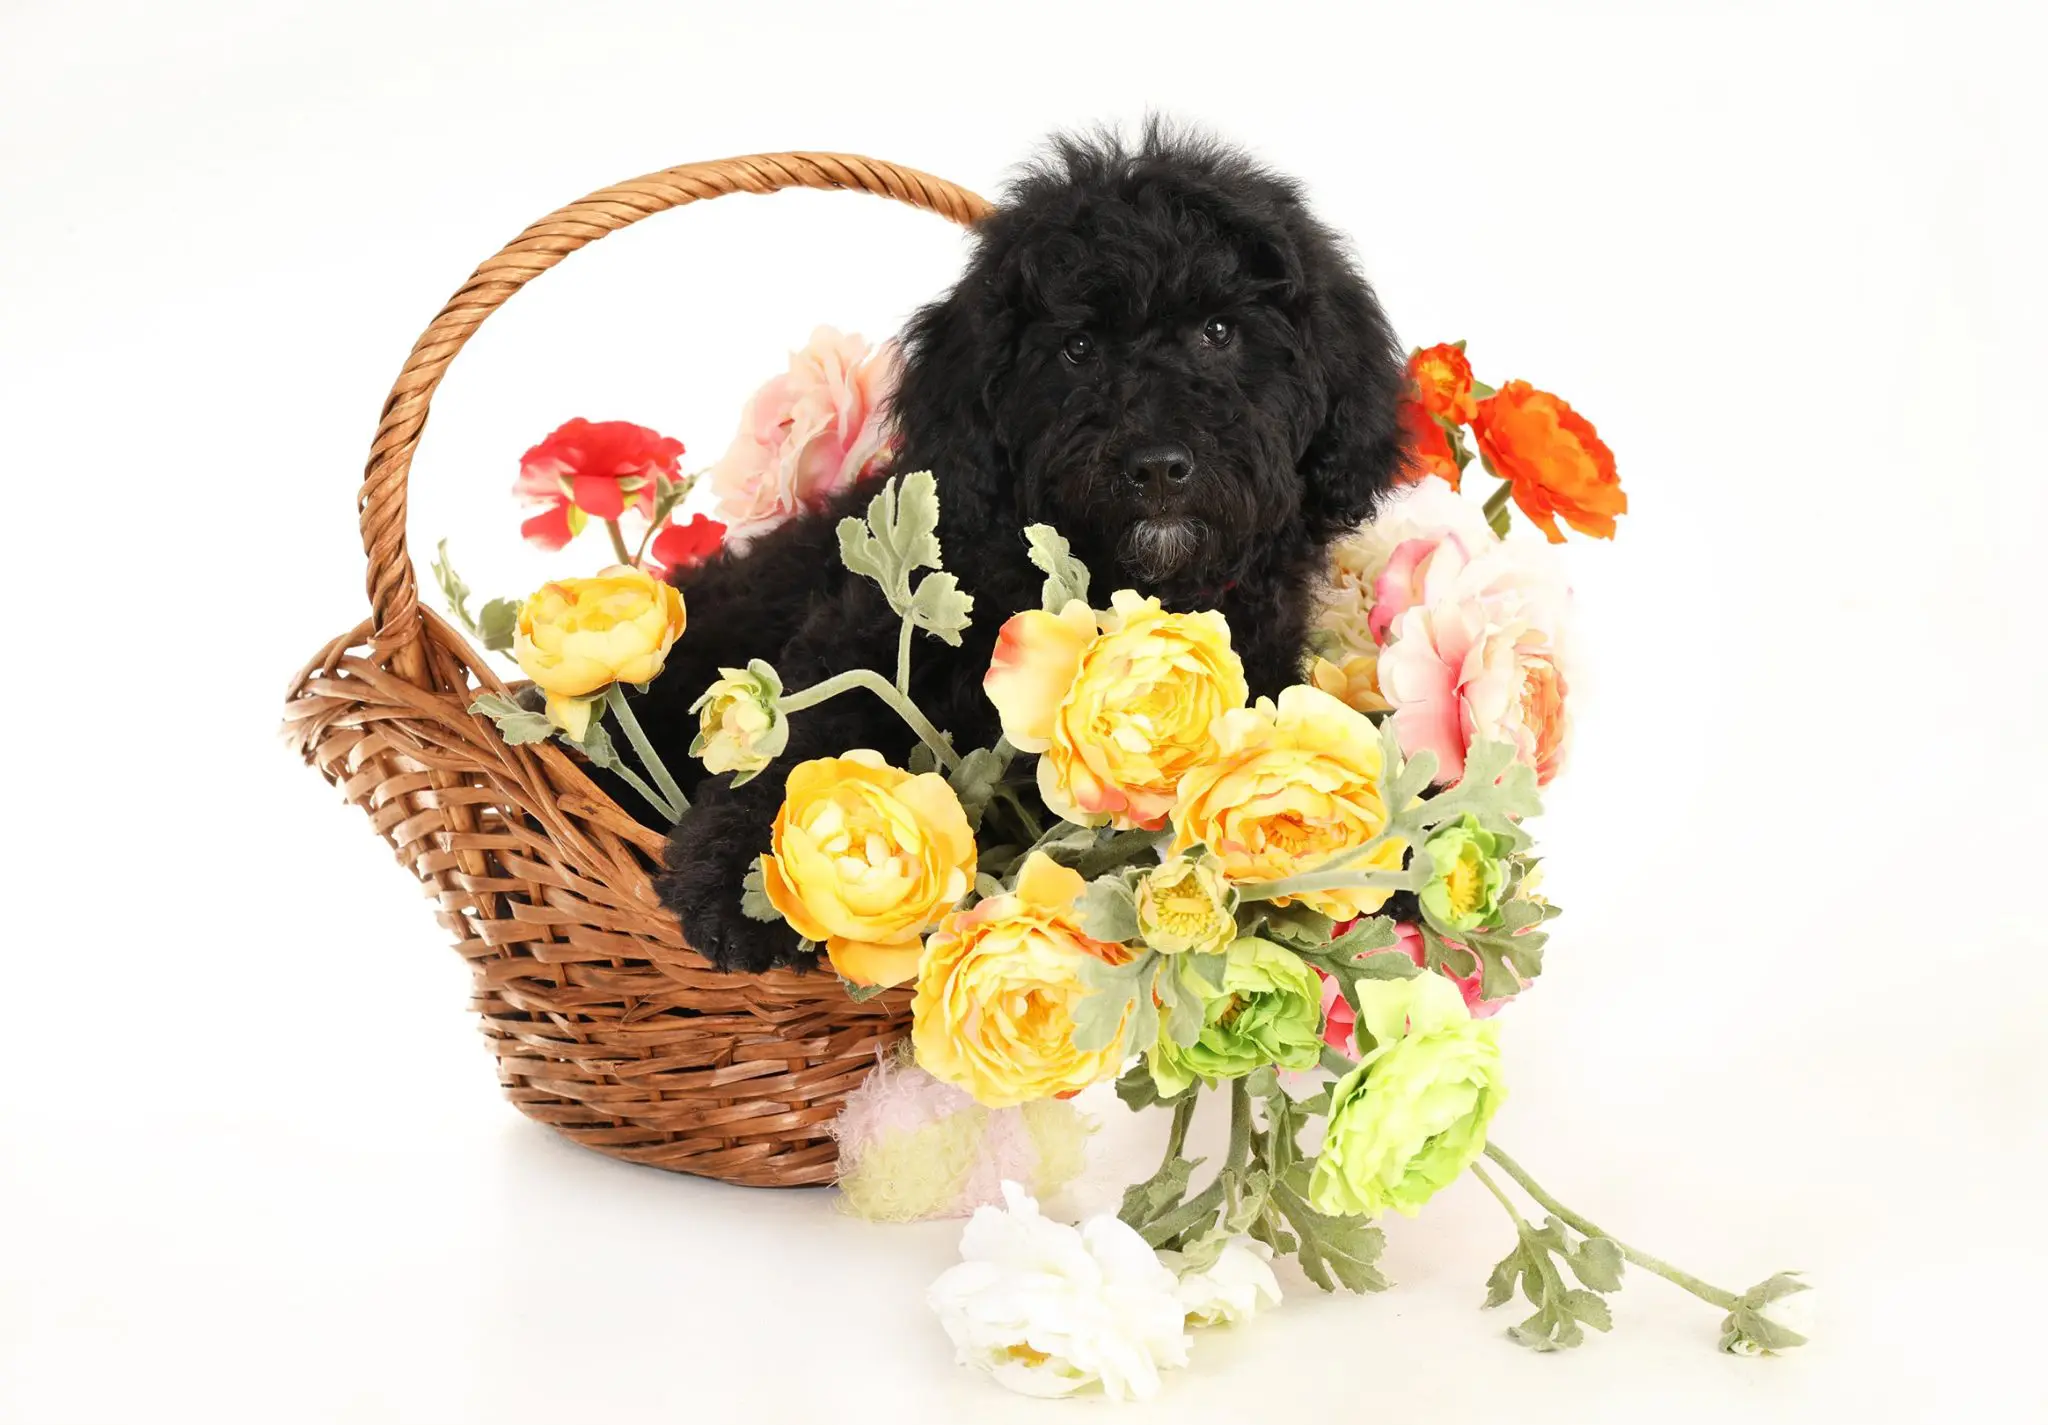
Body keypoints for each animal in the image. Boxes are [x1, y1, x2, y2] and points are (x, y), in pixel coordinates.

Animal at [630, 127, 1417, 974]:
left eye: (1219, 331)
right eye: (1077, 348)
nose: (1157, 466)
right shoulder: (865, 637)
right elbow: (804, 736)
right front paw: (740, 884)